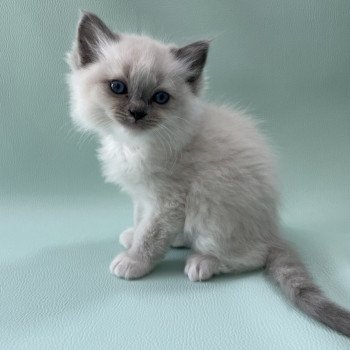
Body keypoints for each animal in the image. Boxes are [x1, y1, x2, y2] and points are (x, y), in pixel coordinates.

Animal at [66, 12, 350, 338]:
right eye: (118, 87)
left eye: (160, 97)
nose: (137, 112)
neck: (134, 145)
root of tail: (272, 231)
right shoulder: (142, 196)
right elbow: (140, 222)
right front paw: (133, 236)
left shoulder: (168, 203)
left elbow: (151, 235)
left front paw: (134, 261)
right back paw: (179, 240)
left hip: (211, 208)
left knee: (252, 256)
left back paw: (202, 263)